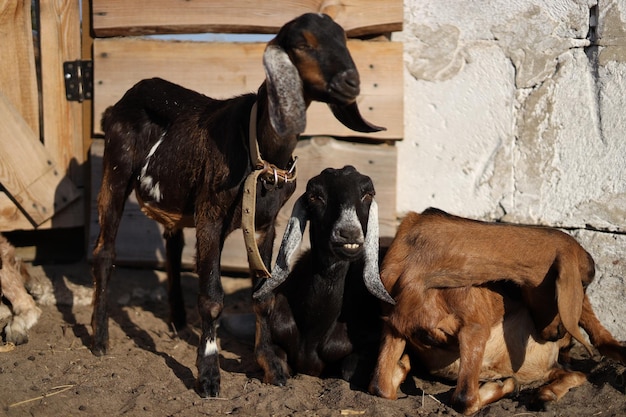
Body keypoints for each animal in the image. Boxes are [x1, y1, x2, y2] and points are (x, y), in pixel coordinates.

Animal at [368, 208, 620, 412]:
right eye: (584, 283)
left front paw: (504, 385)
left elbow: (464, 398)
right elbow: (380, 388)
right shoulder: (394, 325)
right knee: (575, 371)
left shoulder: (475, 327)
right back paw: (543, 394)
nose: (559, 335)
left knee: (597, 345)